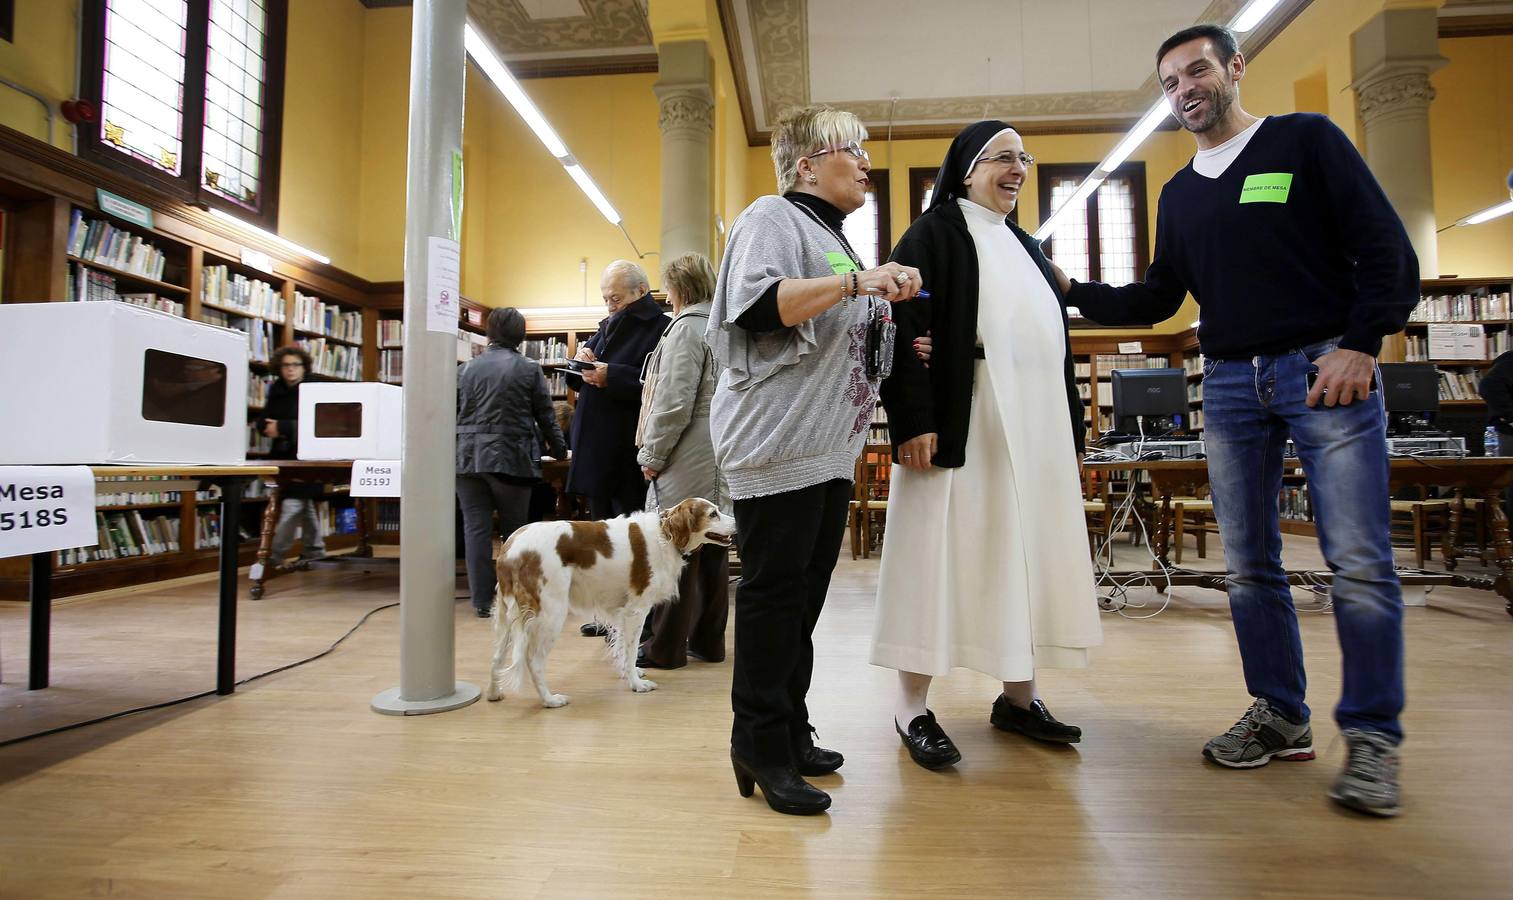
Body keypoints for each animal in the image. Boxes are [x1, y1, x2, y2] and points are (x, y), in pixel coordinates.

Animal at [481, 496, 735, 707]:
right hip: (551, 613)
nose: (735, 522)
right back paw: (550, 700)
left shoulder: (624, 612)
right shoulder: (637, 610)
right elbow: (631, 649)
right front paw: (636, 684)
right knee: (533, 660)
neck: (665, 535)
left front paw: (631, 673)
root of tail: (508, 549)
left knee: (495, 657)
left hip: (506, 615)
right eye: (713, 513)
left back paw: (493, 693)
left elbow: (623, 648)